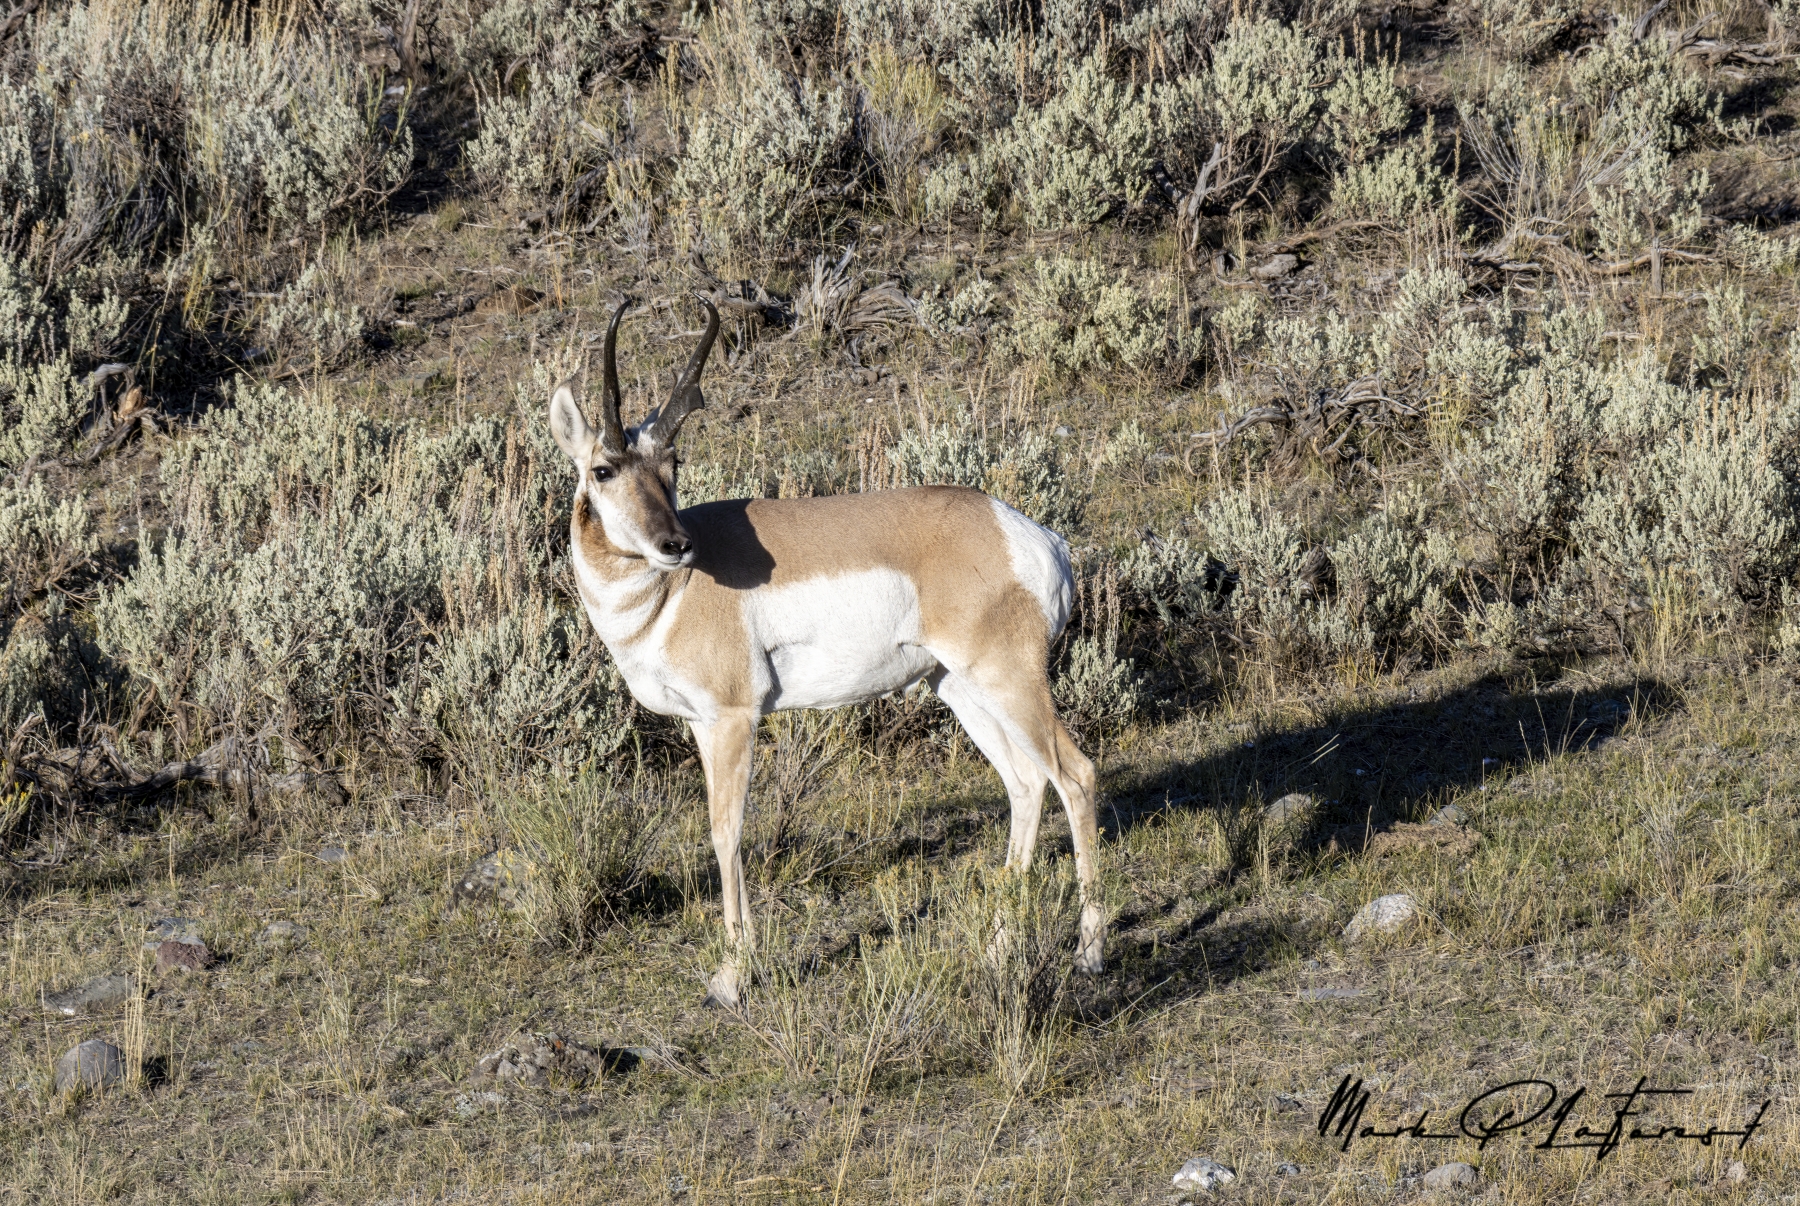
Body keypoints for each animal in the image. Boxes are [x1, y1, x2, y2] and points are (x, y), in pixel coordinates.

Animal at [540, 297, 1101, 1008]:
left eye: (673, 466)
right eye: (603, 469)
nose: (676, 545)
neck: (673, 594)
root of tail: (1031, 535)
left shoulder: (734, 719)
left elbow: (726, 831)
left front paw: (731, 977)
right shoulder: (701, 725)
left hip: (1010, 682)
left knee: (1076, 774)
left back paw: (1090, 955)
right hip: (960, 689)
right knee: (1026, 783)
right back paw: (1001, 950)